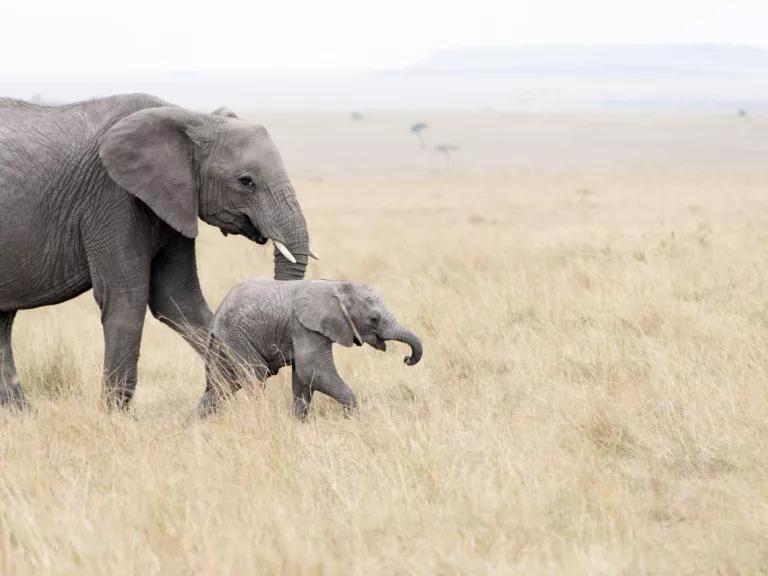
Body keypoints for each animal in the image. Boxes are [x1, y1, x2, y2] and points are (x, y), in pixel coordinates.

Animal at [0, 94, 312, 408]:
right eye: (245, 181)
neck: (193, 118)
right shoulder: (113, 196)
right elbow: (126, 297)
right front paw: (114, 414)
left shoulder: (173, 201)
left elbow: (178, 300)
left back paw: (22, 412)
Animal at [198, 280, 424, 418]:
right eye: (374, 319)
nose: (407, 358)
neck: (337, 286)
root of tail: (215, 319)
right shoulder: (305, 327)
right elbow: (313, 370)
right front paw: (350, 415)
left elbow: (303, 377)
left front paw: (297, 423)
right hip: (237, 337)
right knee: (254, 376)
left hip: (225, 344)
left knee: (222, 386)